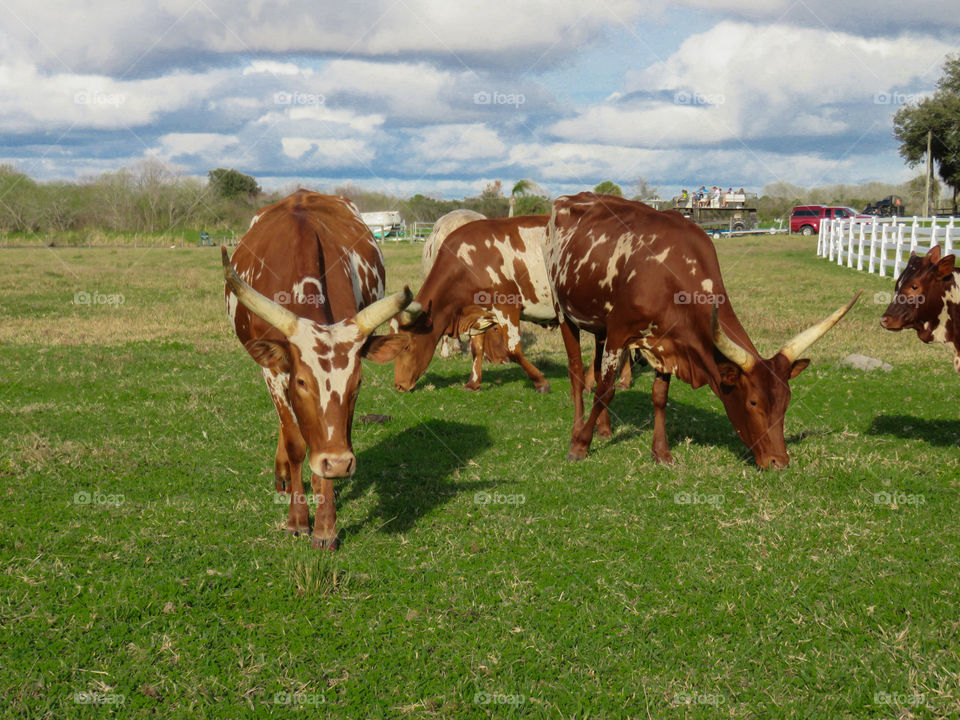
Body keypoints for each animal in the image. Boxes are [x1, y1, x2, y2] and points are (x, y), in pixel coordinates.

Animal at [223, 191, 414, 552]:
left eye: (358, 383)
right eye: (302, 381)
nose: (339, 463)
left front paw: (325, 527)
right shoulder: (276, 373)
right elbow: (296, 443)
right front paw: (297, 520)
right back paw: (283, 474)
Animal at [544, 194, 860, 470]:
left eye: (786, 401)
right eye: (753, 402)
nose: (779, 462)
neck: (667, 272)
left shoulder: (666, 343)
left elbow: (659, 396)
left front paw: (661, 452)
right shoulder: (620, 333)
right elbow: (606, 391)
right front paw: (581, 446)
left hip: (600, 328)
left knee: (596, 371)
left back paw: (605, 429)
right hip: (564, 312)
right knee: (577, 371)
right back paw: (578, 429)